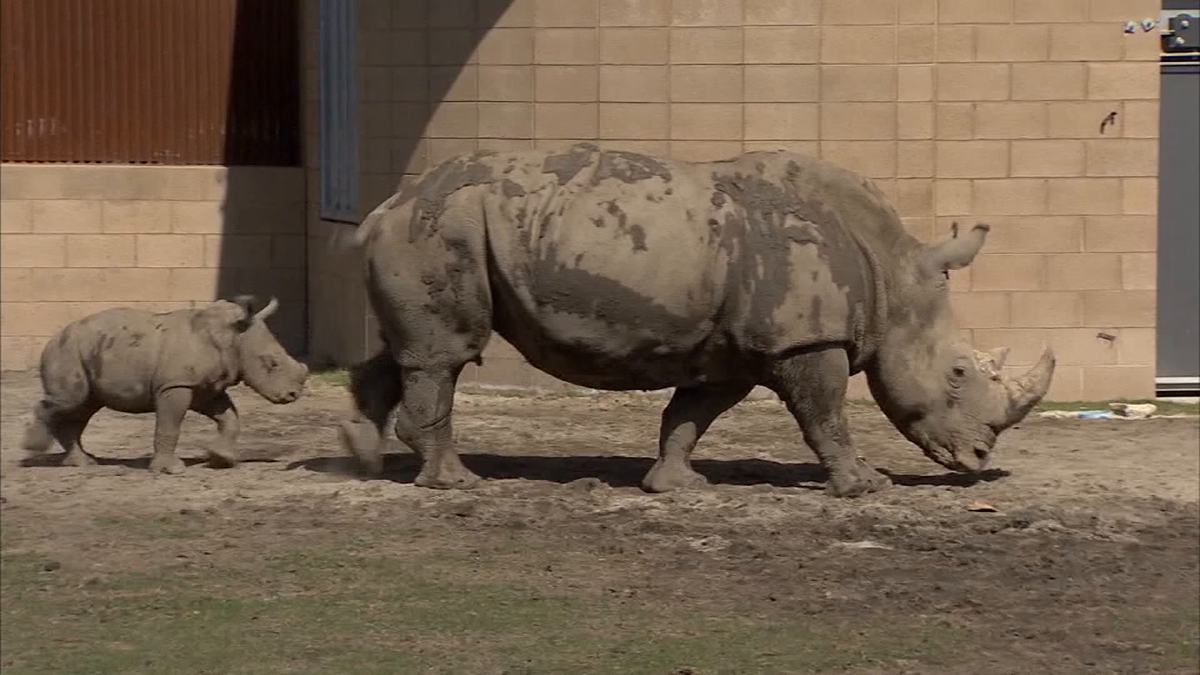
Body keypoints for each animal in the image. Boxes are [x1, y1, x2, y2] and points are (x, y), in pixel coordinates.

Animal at [21, 294, 309, 473]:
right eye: (271, 363)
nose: (293, 394)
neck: (232, 336)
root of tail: (52, 338)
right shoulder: (176, 384)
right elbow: (170, 425)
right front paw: (171, 470)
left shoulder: (206, 388)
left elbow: (230, 419)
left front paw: (221, 460)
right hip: (67, 351)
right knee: (70, 401)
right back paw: (34, 448)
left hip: (88, 351)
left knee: (82, 408)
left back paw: (83, 463)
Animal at [336, 141, 1051, 497]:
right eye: (957, 373)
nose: (979, 460)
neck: (889, 273)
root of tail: (384, 206)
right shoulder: (802, 340)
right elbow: (826, 417)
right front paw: (864, 487)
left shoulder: (735, 348)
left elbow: (690, 414)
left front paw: (676, 487)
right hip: (443, 228)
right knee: (446, 352)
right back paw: (457, 484)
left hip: (435, 231)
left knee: (408, 348)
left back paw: (364, 460)